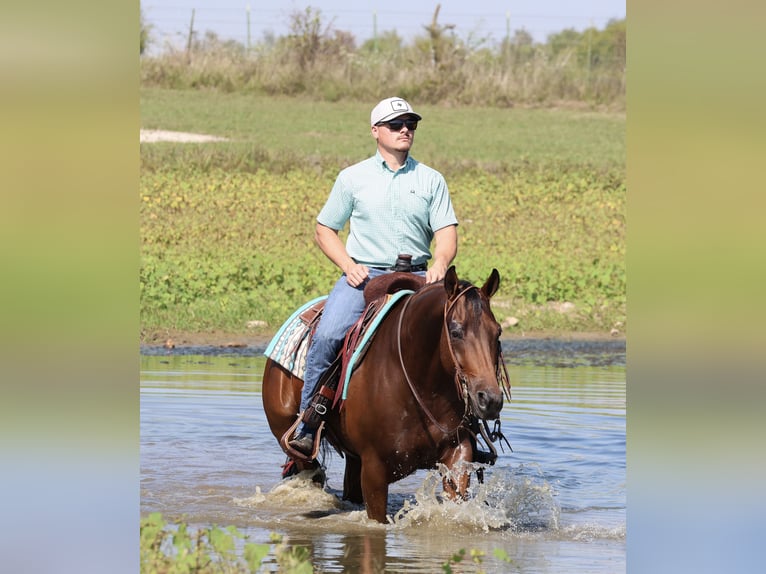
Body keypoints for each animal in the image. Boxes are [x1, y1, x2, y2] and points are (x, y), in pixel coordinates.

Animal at [261, 266, 511, 523]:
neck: (420, 388)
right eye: (456, 331)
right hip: (290, 436)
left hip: (354, 459)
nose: (490, 400)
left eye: (497, 332)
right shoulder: (374, 472)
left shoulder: (457, 456)